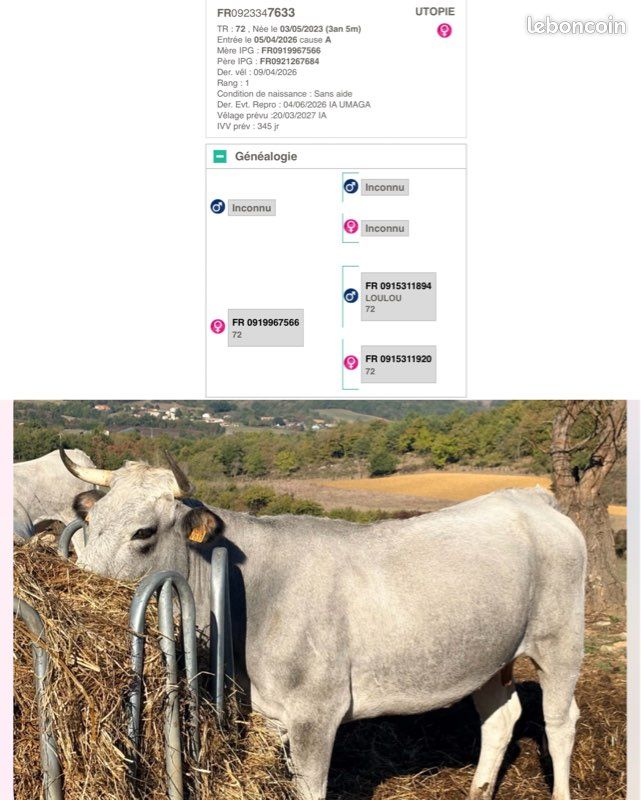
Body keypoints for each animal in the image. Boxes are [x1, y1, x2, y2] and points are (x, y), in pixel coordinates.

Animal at [59, 446, 586, 800]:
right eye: (91, 521)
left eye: (143, 532)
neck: (258, 587)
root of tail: (530, 498)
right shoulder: (272, 710)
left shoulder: (318, 712)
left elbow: (310, 787)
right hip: (490, 653)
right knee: (501, 717)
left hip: (561, 643)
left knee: (560, 722)